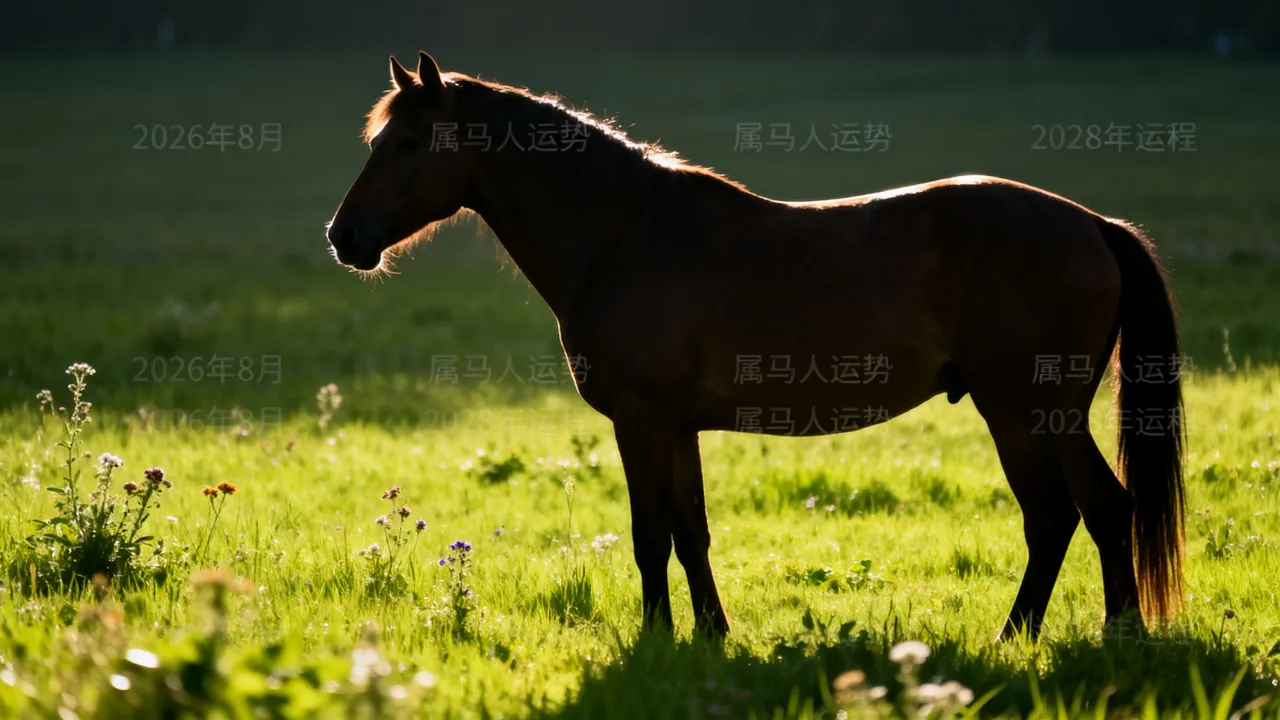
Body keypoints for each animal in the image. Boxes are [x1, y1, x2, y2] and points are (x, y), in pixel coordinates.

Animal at [325, 51, 1186, 641]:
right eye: (380, 138)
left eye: (409, 142)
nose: (344, 237)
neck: (625, 237)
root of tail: (1093, 225)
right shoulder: (678, 428)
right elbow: (689, 532)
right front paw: (711, 633)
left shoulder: (642, 422)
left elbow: (649, 537)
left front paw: (657, 639)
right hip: (1046, 414)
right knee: (1087, 513)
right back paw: (1075, 635)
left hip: (1027, 411)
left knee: (1072, 513)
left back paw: (1052, 636)